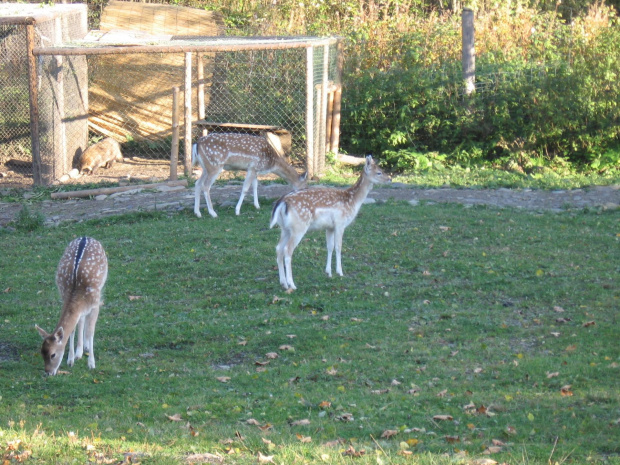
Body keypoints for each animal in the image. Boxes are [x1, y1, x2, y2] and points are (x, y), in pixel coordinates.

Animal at [35, 237, 108, 376]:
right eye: (41, 353)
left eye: (53, 354)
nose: (48, 372)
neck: (76, 292)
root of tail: (86, 237)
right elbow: (73, 330)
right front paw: (70, 360)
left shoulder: (96, 304)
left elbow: (91, 331)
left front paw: (91, 363)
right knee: (81, 319)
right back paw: (79, 351)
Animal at [268, 154, 390, 288]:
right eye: (379, 172)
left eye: (381, 169)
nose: (389, 179)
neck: (353, 201)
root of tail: (281, 202)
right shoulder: (340, 223)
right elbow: (338, 246)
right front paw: (340, 272)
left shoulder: (330, 227)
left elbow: (329, 246)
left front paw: (328, 272)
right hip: (299, 227)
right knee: (287, 250)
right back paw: (292, 284)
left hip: (285, 228)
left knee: (278, 248)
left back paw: (283, 282)